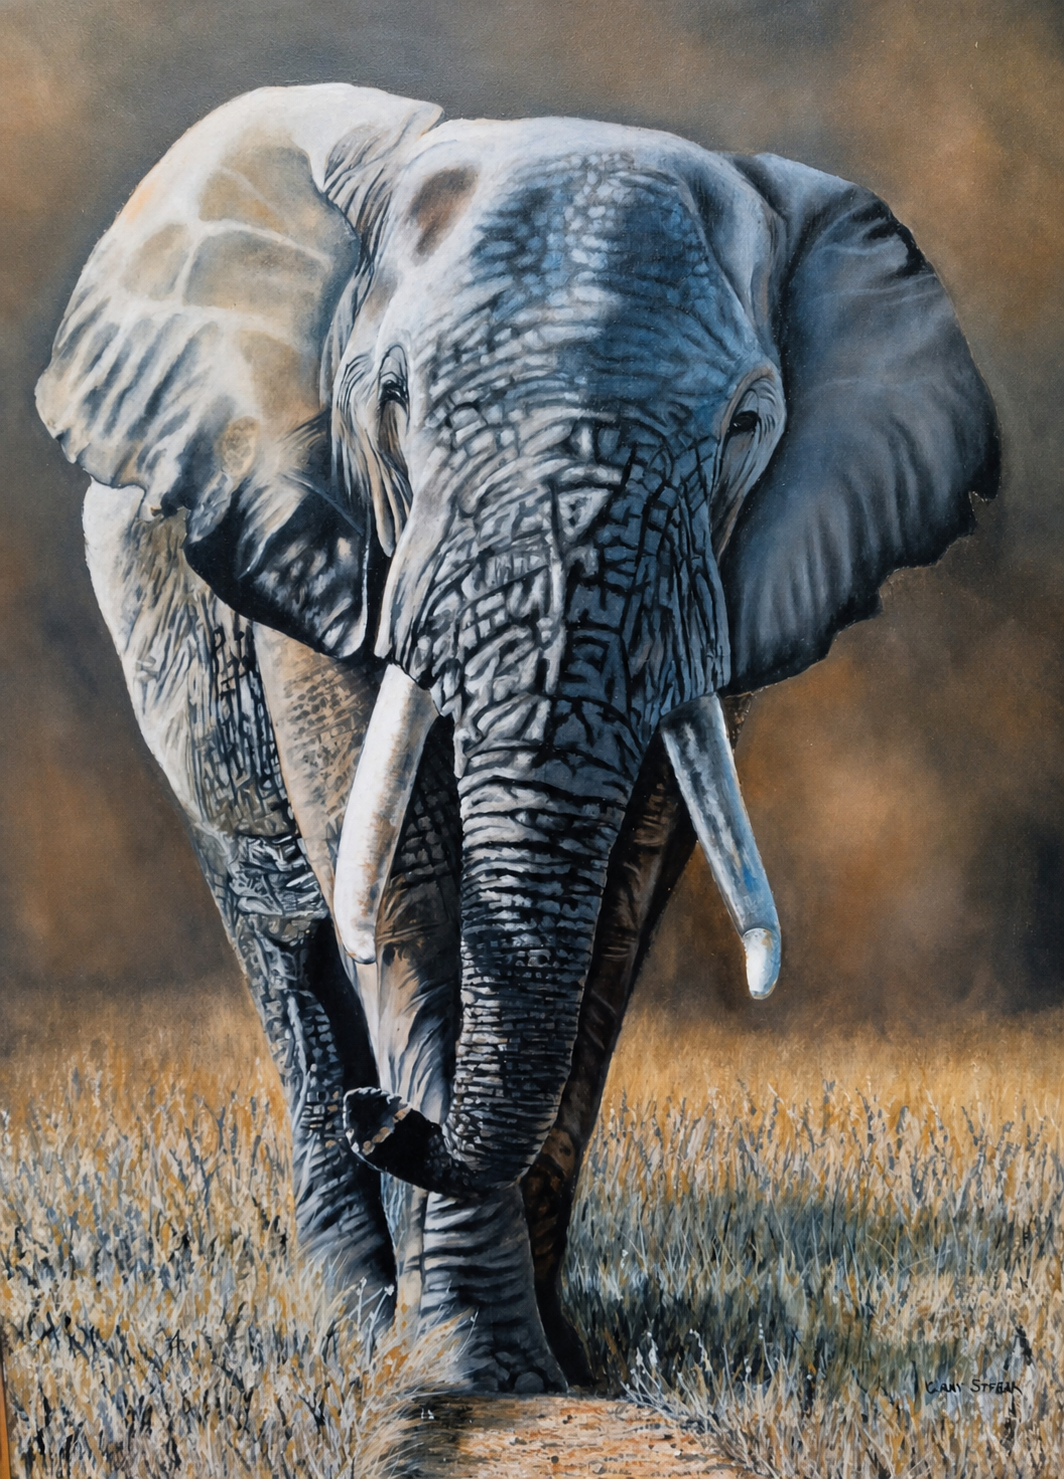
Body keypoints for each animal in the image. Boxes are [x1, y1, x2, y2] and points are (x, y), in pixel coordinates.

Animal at [36, 84, 998, 1392]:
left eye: (748, 422)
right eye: (391, 401)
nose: (394, 1120)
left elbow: (618, 901)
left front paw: (555, 1364)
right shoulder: (315, 529)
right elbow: (399, 878)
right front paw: (461, 1369)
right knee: (287, 938)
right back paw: (353, 1305)